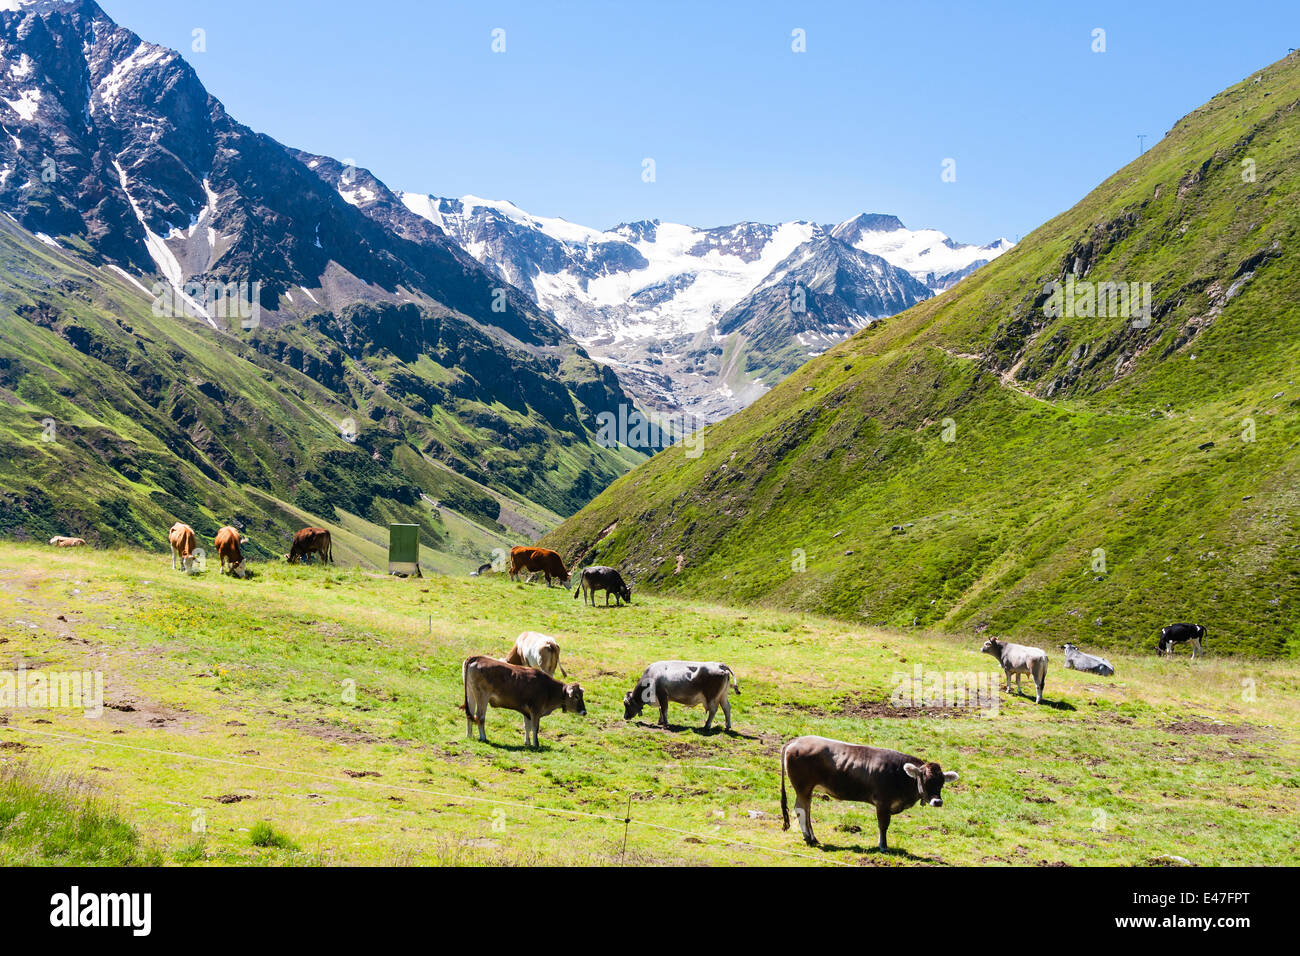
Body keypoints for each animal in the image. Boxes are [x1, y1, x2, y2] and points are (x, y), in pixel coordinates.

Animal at [774, 738, 961, 848]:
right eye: (925, 780)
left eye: (941, 783)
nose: (937, 802)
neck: (900, 775)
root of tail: (796, 740)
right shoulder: (883, 802)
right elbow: (883, 825)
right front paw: (883, 846)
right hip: (803, 787)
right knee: (801, 809)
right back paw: (809, 838)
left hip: (808, 789)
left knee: (807, 810)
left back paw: (812, 837)